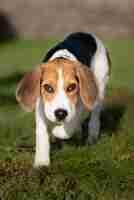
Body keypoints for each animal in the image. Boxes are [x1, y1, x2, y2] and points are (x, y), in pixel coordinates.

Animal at [15, 32, 111, 166]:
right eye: (48, 88)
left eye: (71, 87)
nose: (60, 113)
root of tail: (85, 34)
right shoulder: (41, 106)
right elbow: (41, 134)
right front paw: (41, 162)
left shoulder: (78, 106)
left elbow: (69, 125)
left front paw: (58, 131)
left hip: (100, 85)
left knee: (95, 115)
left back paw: (91, 135)